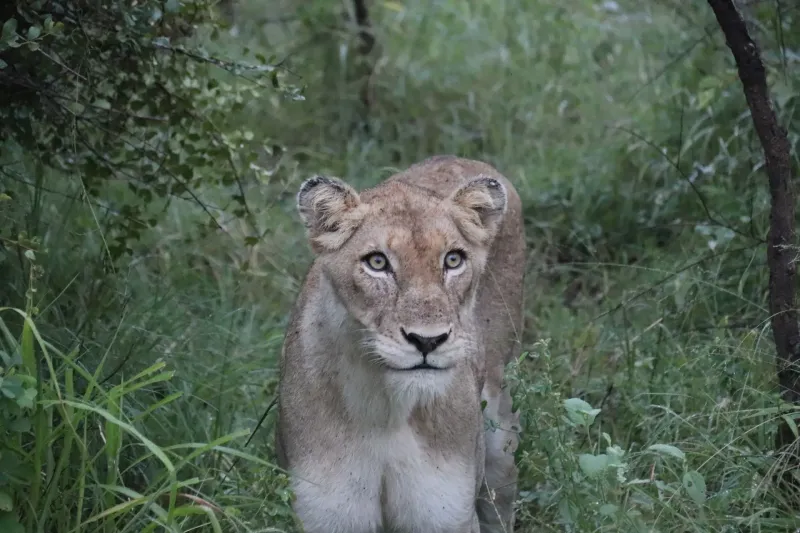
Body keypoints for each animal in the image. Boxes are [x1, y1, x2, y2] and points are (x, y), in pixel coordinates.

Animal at [275, 155, 525, 533]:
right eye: (377, 262)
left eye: (453, 260)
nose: (428, 340)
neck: (384, 408)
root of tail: (459, 157)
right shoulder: (327, 516)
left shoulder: (447, 515)